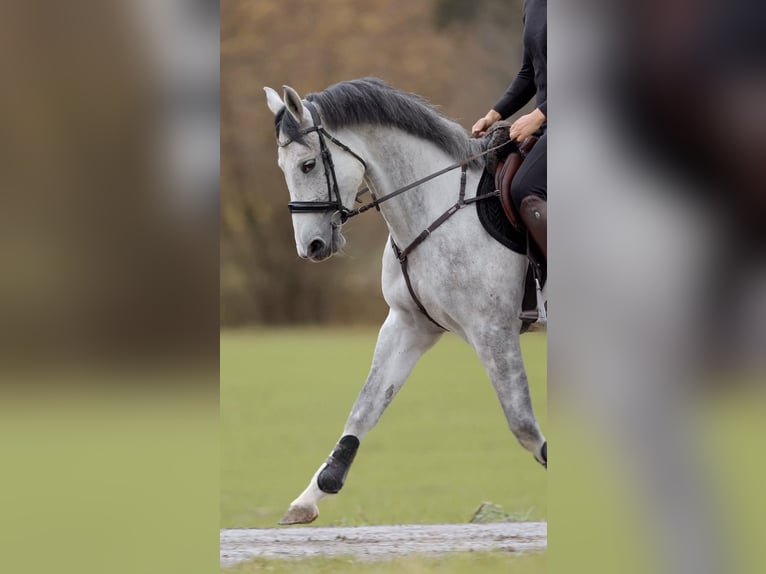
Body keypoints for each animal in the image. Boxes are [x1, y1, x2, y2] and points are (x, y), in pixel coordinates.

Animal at [263, 77, 546, 525]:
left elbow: (523, 425)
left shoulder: (492, 330)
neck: (434, 204)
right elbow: (365, 408)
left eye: (307, 165)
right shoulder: (409, 325)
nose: (310, 247)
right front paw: (309, 498)